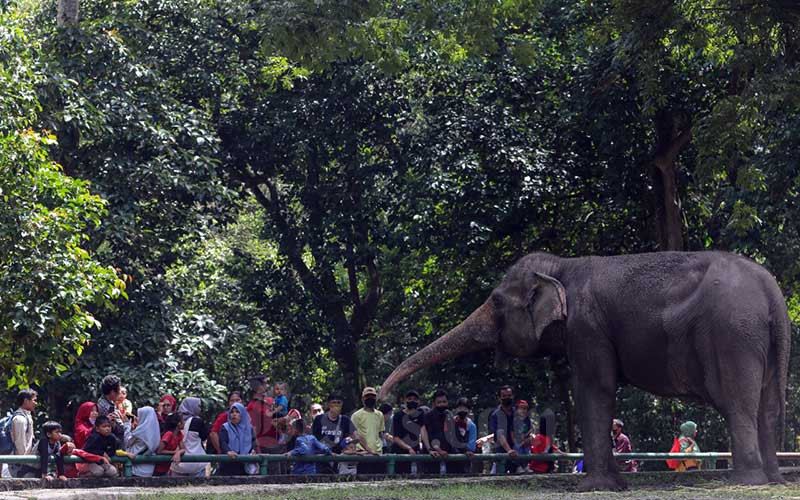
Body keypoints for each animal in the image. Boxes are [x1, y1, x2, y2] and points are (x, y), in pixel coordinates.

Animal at [378, 252, 792, 490]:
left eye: (496, 301)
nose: (381, 399)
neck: (563, 265)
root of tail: (772, 291)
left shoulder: (587, 326)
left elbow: (596, 387)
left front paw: (591, 487)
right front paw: (616, 485)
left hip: (731, 334)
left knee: (737, 404)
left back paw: (747, 481)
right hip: (763, 339)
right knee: (767, 408)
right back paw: (772, 478)